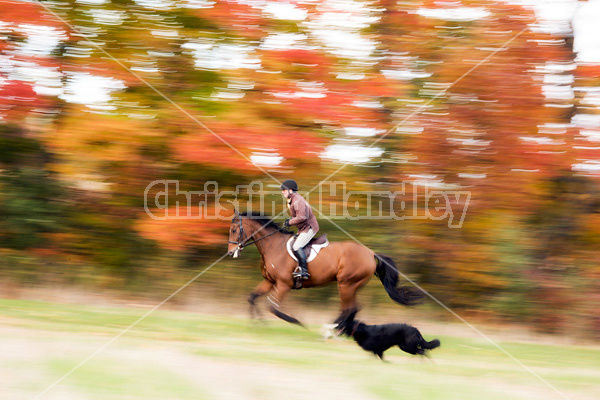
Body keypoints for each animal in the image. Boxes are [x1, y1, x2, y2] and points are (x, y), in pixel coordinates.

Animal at [226, 209, 422, 324]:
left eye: (234, 230)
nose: (230, 252)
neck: (273, 245)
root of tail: (370, 253)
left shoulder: (283, 284)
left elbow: (273, 308)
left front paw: (297, 321)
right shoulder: (270, 281)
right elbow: (252, 298)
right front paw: (257, 322)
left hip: (346, 284)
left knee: (348, 309)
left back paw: (332, 329)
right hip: (351, 286)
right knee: (353, 309)